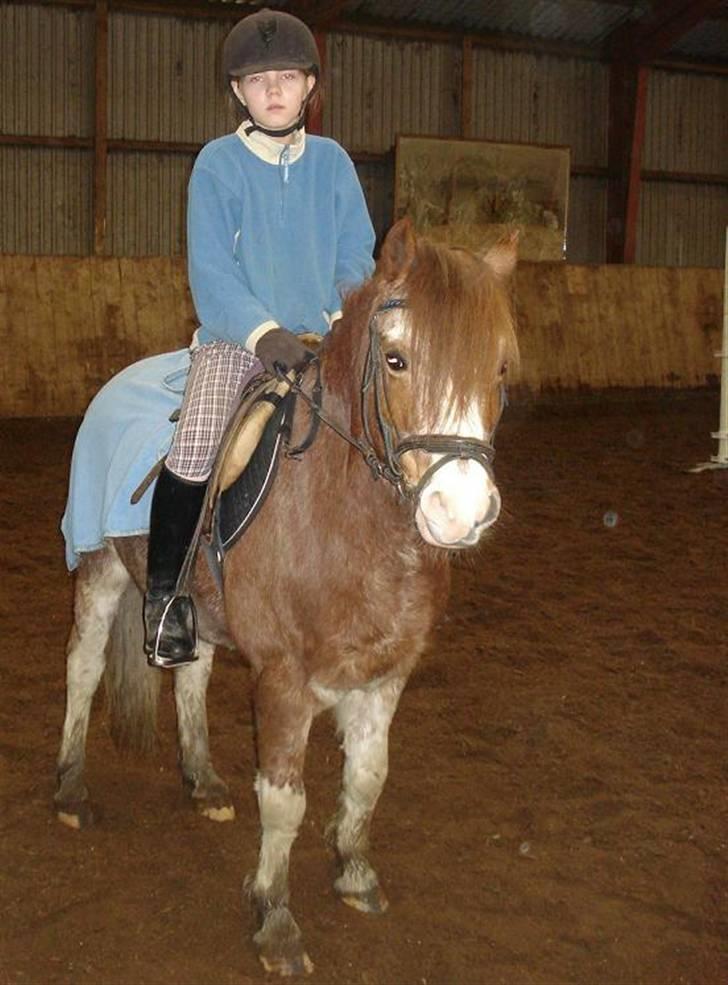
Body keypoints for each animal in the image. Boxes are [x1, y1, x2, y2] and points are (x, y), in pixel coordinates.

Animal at [54, 217, 519, 976]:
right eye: (395, 360)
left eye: (502, 368)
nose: (458, 511)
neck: (352, 521)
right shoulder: (284, 680)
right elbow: (283, 803)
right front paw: (274, 921)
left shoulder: (387, 674)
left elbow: (368, 776)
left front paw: (355, 873)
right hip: (98, 569)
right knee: (82, 669)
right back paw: (69, 789)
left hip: (194, 611)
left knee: (190, 674)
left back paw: (204, 780)